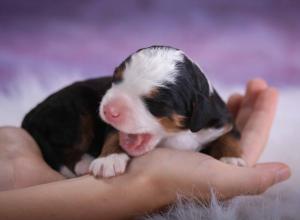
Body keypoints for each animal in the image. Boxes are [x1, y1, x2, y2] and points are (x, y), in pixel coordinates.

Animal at [21, 45, 246, 178]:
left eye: (154, 102)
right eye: (116, 79)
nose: (109, 110)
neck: (176, 136)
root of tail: (31, 113)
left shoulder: (222, 119)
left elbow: (231, 136)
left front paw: (231, 160)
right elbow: (114, 135)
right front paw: (109, 159)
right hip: (73, 113)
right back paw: (84, 163)